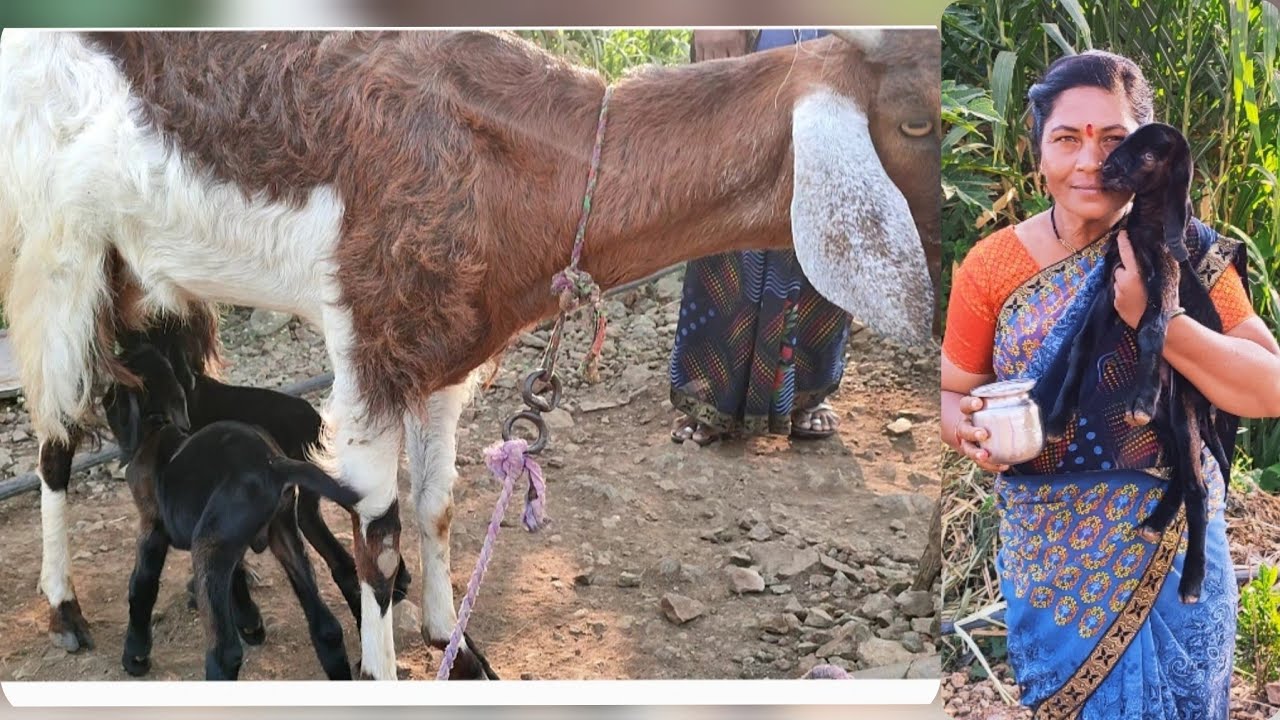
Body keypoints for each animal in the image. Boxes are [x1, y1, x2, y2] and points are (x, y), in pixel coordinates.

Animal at [104, 343, 359, 680]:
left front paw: (135, 655)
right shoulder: (225, 540)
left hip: (207, 546)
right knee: (326, 626)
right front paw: (250, 623)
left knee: (225, 653)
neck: (158, 425)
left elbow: (141, 588)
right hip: (280, 533)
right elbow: (236, 579)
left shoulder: (152, 528)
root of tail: (272, 465)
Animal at [1037, 122, 1225, 603]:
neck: (1145, 225)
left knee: (1198, 489)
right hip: (1170, 422)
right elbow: (1082, 344)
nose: (1104, 170)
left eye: (1147, 156)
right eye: (1121, 141)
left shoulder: (1160, 285)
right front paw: (1059, 416)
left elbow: (1152, 330)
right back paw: (1156, 522)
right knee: (1183, 472)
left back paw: (1192, 580)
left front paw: (1140, 394)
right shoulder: (1110, 285)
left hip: (1185, 406)